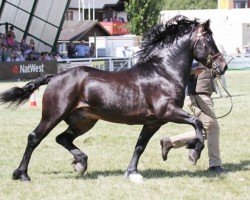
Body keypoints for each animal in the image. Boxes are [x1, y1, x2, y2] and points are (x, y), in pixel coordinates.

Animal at [0, 16, 227, 181]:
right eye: (208, 40)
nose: (222, 66)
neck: (163, 72)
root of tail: (55, 76)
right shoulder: (168, 112)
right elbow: (198, 124)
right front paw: (193, 152)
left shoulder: (153, 122)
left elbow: (140, 146)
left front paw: (132, 172)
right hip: (53, 115)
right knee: (34, 137)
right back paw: (22, 174)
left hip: (84, 120)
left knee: (62, 138)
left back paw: (81, 163)